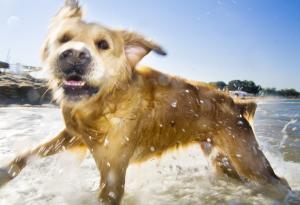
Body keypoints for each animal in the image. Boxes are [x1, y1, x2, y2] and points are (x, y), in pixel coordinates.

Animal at [0, 0, 290, 205]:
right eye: (63, 39)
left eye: (103, 44)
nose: (73, 56)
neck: (105, 103)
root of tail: (236, 103)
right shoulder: (74, 135)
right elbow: (28, 153)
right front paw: (4, 174)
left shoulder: (113, 174)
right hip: (223, 159)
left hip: (249, 159)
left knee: (280, 182)